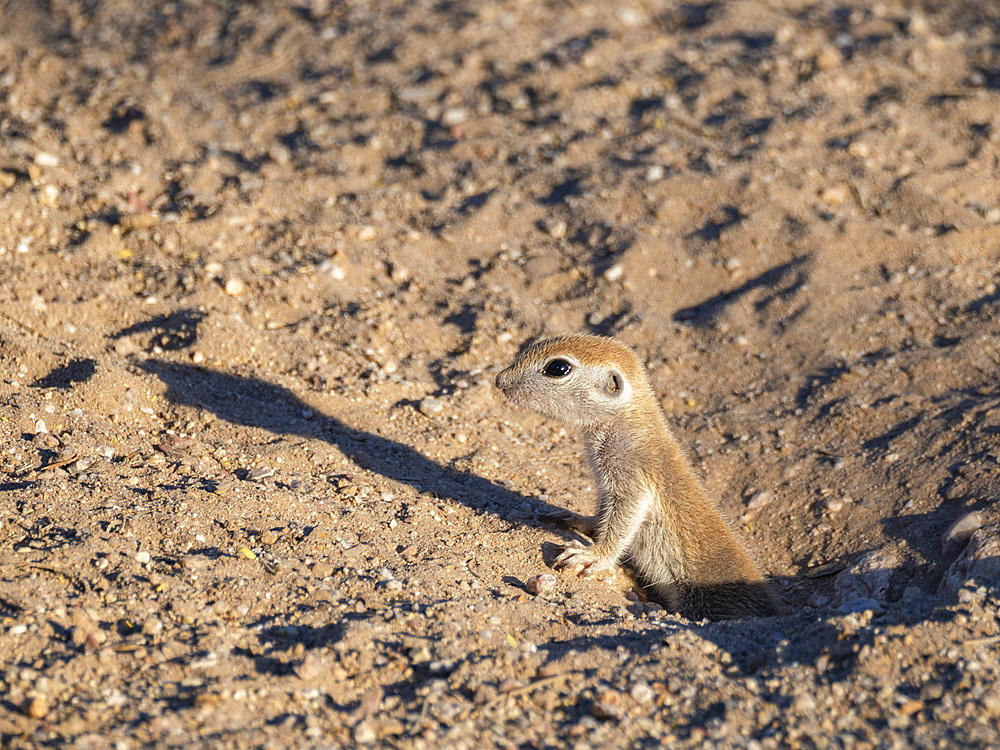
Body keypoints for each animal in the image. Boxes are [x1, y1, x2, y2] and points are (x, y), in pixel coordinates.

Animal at [496, 336, 776, 624]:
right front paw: (580, 521)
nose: (500, 379)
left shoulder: (633, 476)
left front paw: (594, 555)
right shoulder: (607, 484)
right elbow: (603, 513)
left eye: (558, 368)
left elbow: (624, 519)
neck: (633, 426)